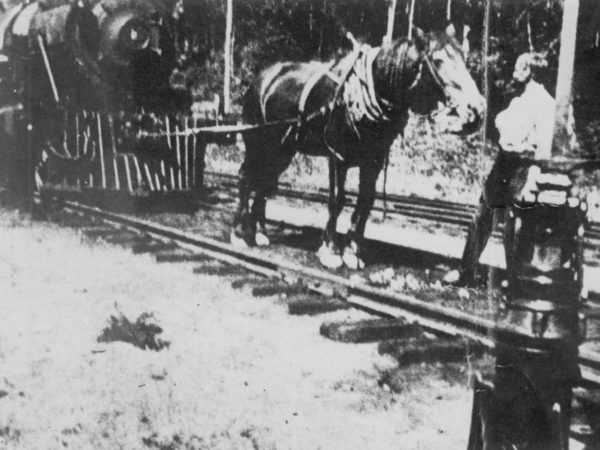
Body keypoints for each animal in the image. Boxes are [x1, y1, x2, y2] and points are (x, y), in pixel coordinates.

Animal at [232, 27, 486, 268]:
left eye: (464, 58)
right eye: (437, 59)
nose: (476, 109)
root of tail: (261, 79)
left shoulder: (374, 160)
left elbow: (365, 202)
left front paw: (353, 252)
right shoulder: (337, 154)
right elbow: (337, 199)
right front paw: (331, 250)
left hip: (283, 148)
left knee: (265, 183)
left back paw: (260, 231)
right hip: (258, 142)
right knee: (246, 176)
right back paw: (240, 232)